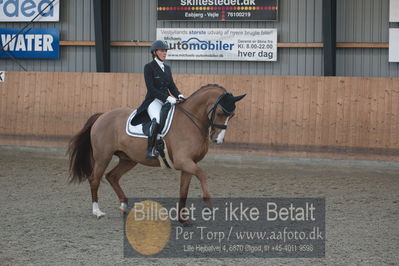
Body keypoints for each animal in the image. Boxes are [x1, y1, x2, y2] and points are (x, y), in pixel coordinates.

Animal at [67, 84, 245, 219]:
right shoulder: (183, 161)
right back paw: (97, 211)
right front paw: (208, 203)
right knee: (94, 179)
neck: (191, 122)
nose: (217, 140)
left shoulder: (189, 164)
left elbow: (184, 190)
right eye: (220, 113)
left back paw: (124, 206)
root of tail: (102, 115)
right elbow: (202, 174)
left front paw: (183, 219)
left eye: (232, 115)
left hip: (128, 159)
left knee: (112, 176)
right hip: (103, 157)